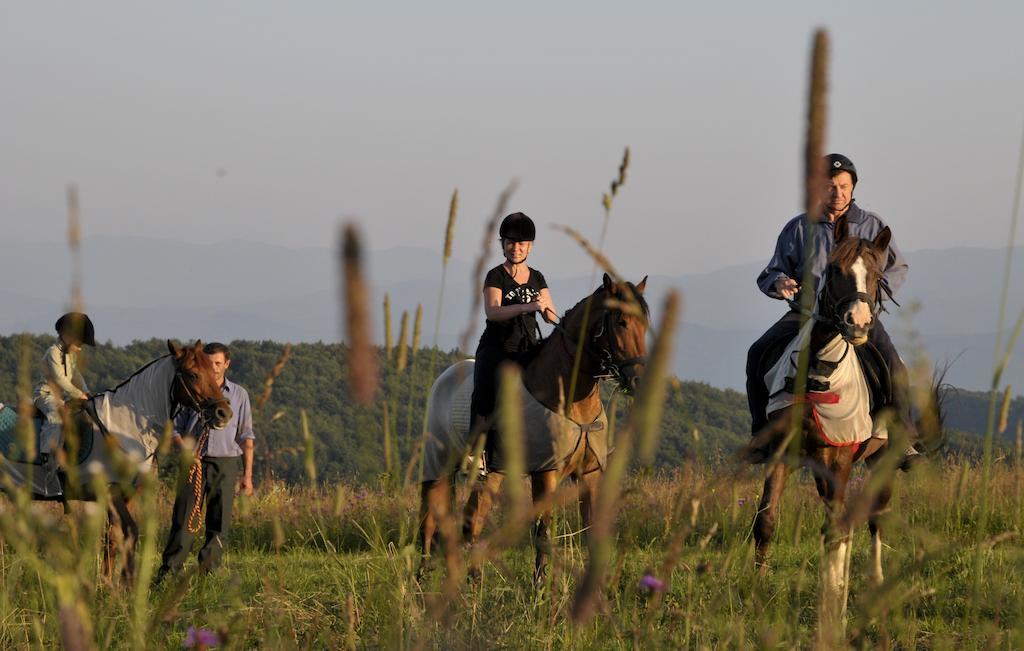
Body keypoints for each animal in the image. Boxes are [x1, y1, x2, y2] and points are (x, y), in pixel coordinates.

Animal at [421, 272, 647, 577]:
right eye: (621, 322)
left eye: (645, 324)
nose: (638, 381)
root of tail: (442, 379)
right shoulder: (546, 473)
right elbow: (543, 533)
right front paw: (539, 587)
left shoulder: (589, 474)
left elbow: (591, 532)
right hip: (437, 467)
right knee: (428, 525)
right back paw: (420, 581)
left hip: (492, 474)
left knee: (472, 522)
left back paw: (473, 582)